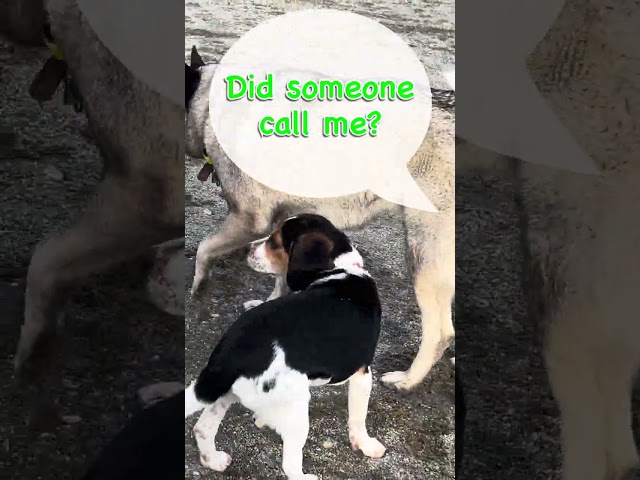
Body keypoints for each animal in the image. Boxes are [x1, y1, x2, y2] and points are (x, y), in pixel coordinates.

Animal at [185, 215, 384, 480]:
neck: (340, 269)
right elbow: (358, 418)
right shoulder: (363, 373)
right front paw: (365, 444)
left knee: (203, 428)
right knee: (290, 465)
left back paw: (213, 460)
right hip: (298, 409)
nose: (248, 249)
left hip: (223, 391)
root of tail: (232, 355)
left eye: (275, 243)